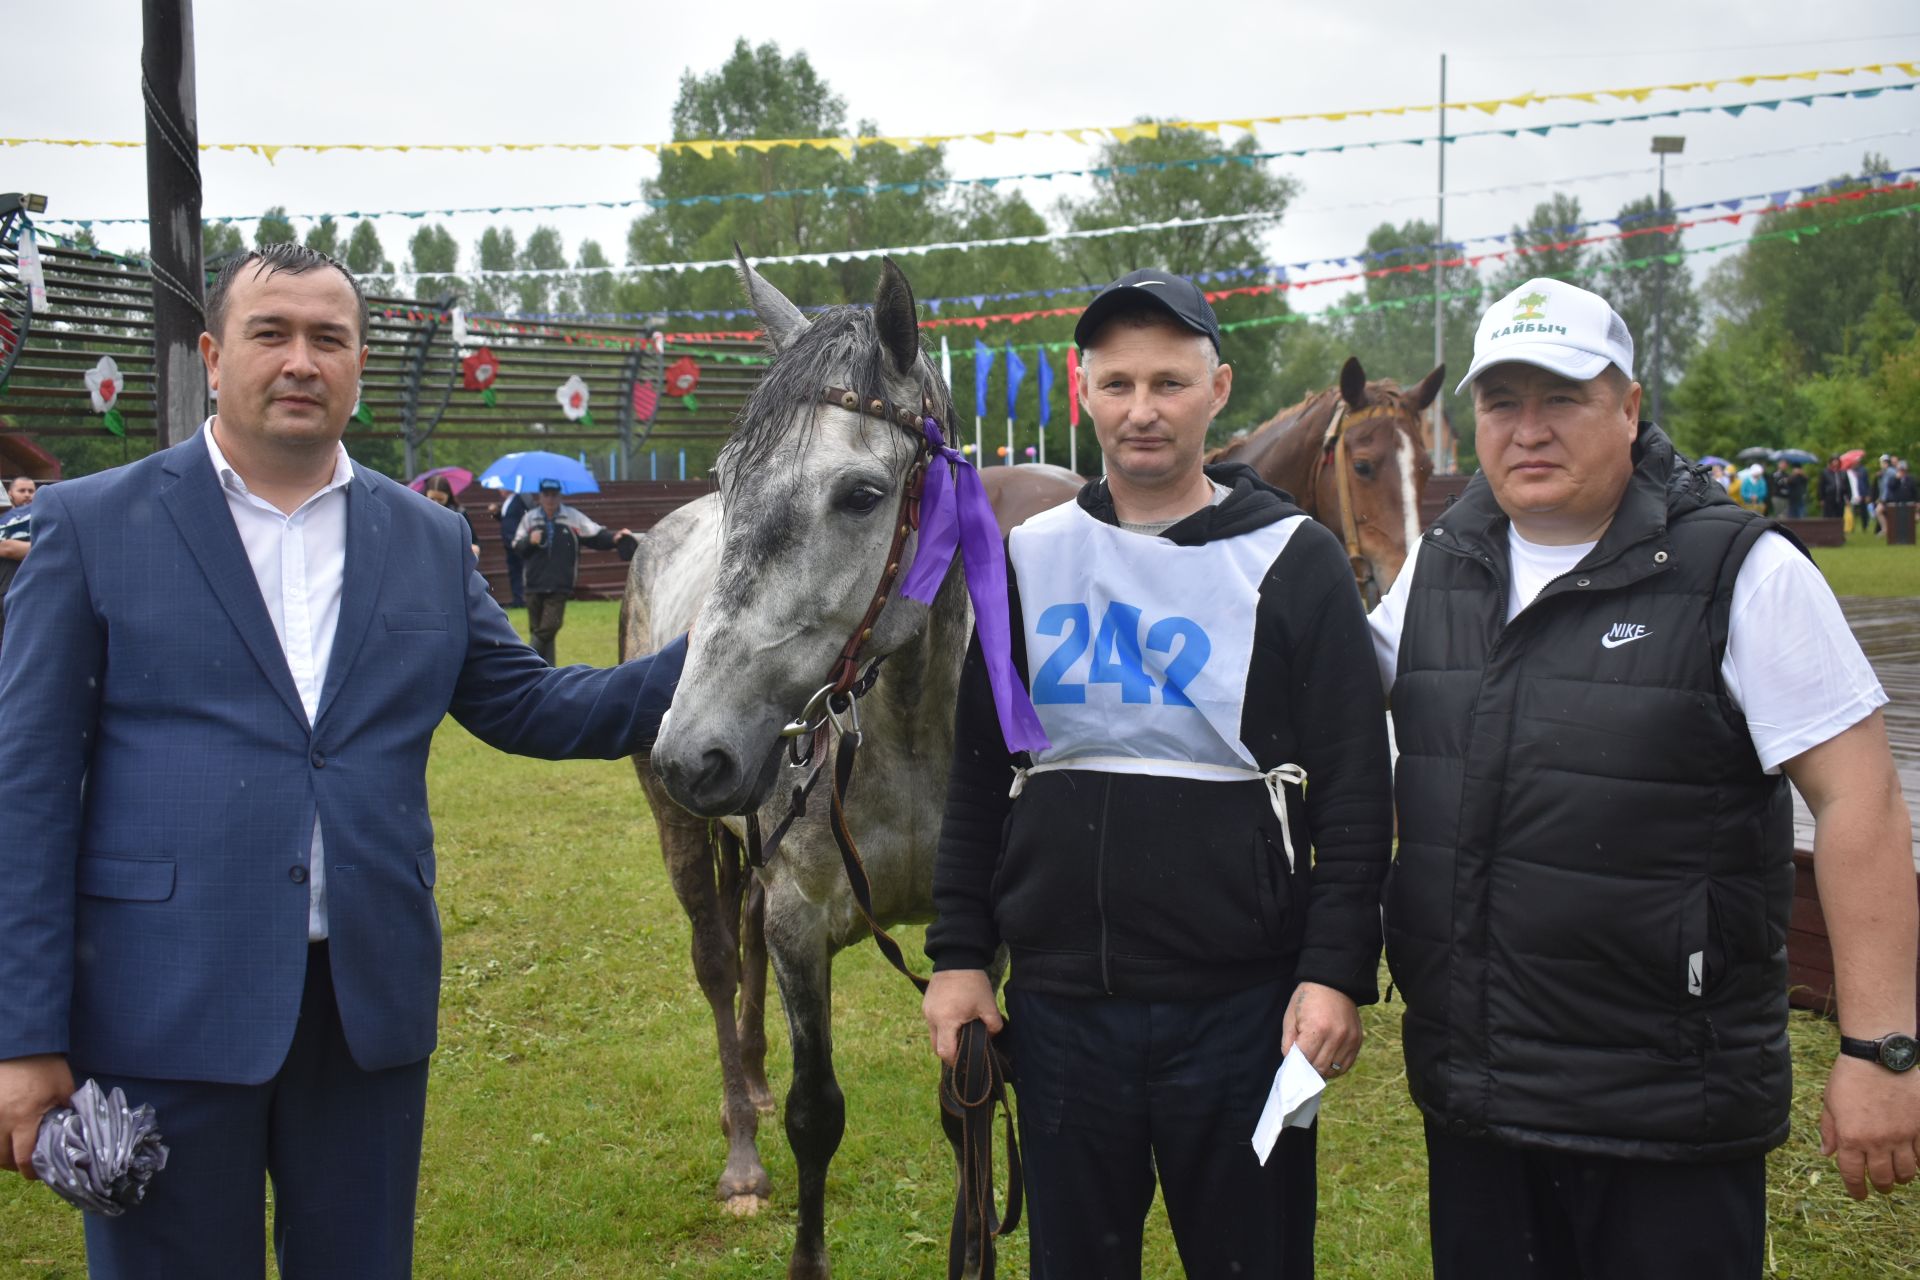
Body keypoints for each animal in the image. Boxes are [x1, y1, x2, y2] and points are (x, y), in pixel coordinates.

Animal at [622, 255, 998, 1280]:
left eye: (862, 495)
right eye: (727, 479)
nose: (694, 752)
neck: (907, 737)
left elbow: (965, 1105)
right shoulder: (801, 926)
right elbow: (815, 1115)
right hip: (685, 839)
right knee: (720, 964)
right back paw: (742, 1151)